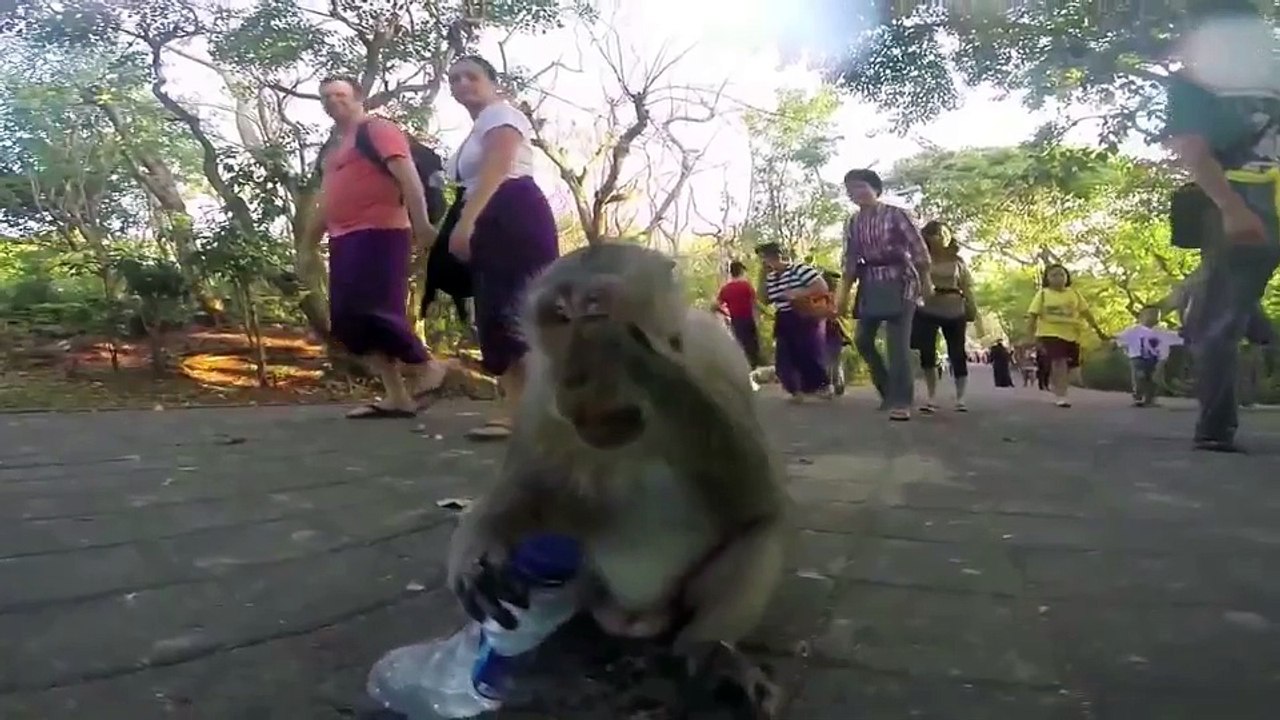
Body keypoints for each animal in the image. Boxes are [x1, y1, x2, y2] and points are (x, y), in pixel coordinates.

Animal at [446, 243, 790, 716]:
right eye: (558, 316)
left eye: (595, 311)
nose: (574, 376)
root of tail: (637, 615)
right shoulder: (538, 394)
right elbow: (528, 488)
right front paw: (479, 549)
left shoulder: (719, 361)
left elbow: (757, 501)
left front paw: (640, 358)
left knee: (760, 536)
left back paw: (709, 653)